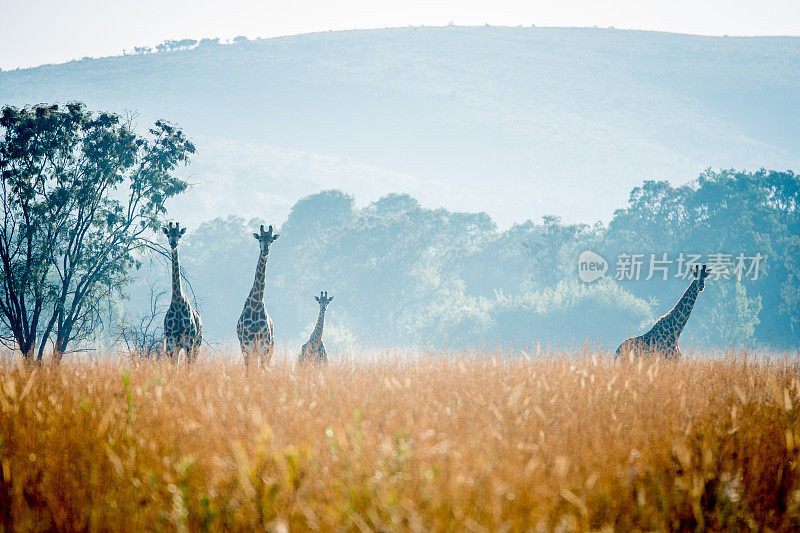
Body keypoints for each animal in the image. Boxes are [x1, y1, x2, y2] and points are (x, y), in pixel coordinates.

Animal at [161, 221, 202, 366]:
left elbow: (187, 367)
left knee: (192, 363)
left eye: (179, 235)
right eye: (168, 234)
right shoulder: (171, 343)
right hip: (178, 346)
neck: (177, 302)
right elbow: (173, 367)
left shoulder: (189, 342)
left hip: (197, 344)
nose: (173, 243)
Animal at [236, 223, 280, 366]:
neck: (256, 305)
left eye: (271, 240)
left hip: (269, 348)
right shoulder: (246, 345)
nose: (266, 250)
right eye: (260, 239)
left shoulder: (264, 346)